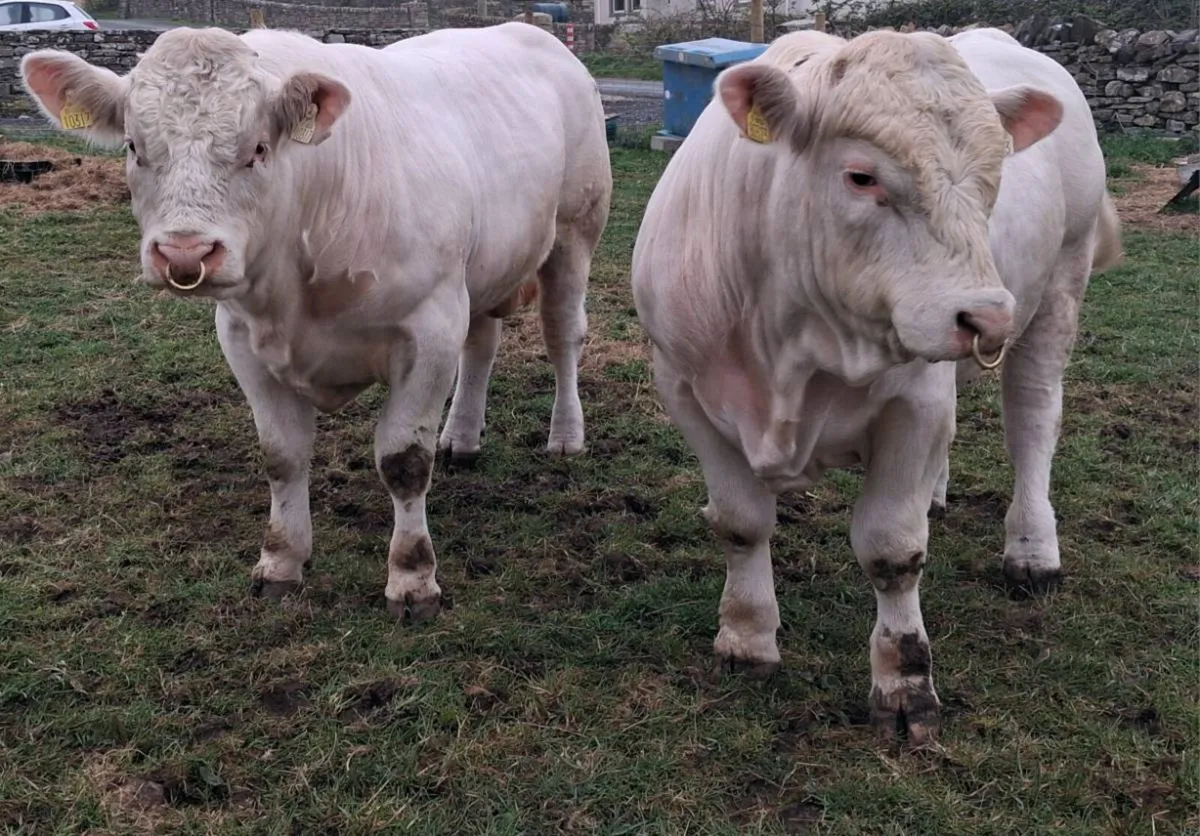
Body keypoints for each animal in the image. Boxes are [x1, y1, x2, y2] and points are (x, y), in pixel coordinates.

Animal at [21, 23, 612, 620]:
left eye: (258, 150)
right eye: (134, 148)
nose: (185, 254)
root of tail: (528, 30)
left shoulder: (431, 327)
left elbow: (404, 461)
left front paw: (413, 577)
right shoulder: (241, 337)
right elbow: (282, 455)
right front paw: (281, 561)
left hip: (574, 233)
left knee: (562, 336)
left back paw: (566, 435)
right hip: (487, 268)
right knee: (483, 344)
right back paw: (462, 437)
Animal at [630, 27, 1121, 742]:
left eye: (994, 177)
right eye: (861, 177)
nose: (986, 316)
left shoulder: (915, 402)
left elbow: (893, 550)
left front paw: (905, 683)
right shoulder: (686, 388)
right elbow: (741, 523)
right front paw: (746, 640)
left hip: (1059, 288)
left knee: (1033, 419)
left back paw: (1032, 549)